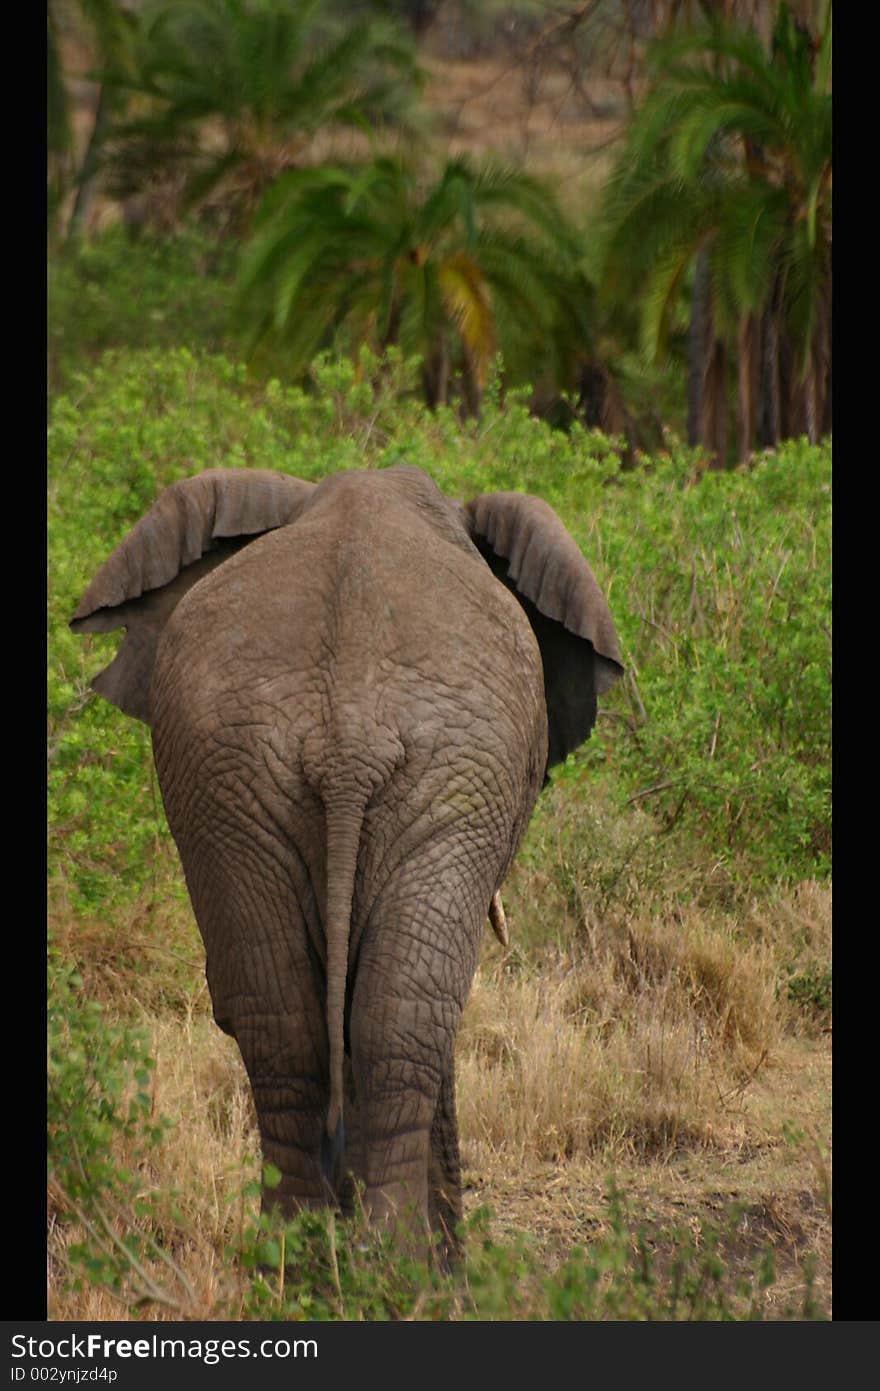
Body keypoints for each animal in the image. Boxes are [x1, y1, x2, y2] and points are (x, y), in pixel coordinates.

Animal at [70, 461, 617, 1257]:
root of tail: (348, 734)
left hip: (232, 773)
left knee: (287, 1021)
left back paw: (297, 1260)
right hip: (445, 780)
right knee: (406, 1016)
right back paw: (397, 1266)